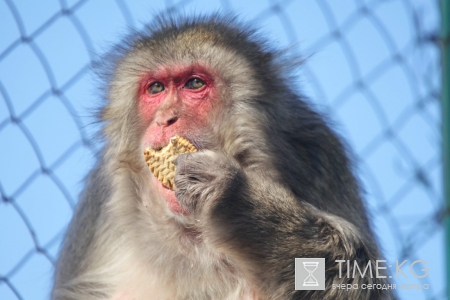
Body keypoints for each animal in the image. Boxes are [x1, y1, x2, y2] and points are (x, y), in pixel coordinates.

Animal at [51, 14, 394, 300]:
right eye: (156, 88)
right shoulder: (97, 208)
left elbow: (360, 277)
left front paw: (236, 198)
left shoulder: (322, 156)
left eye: (194, 83)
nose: (165, 118)